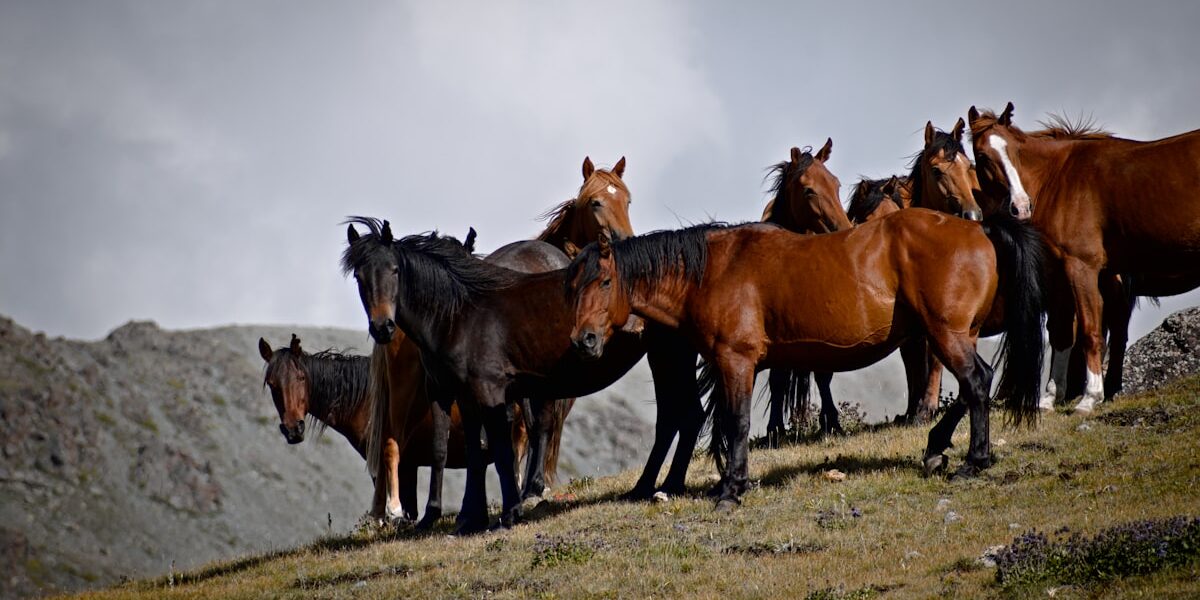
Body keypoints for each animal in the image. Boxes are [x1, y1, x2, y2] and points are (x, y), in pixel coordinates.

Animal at [258, 333, 530, 523]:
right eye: (272, 384)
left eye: (301, 378)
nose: (293, 429)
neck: (366, 398)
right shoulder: (408, 465)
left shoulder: (402, 463)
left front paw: (391, 514)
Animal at [344, 218, 702, 533]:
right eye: (359, 277)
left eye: (394, 270)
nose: (383, 327)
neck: (460, 315)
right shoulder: (459, 394)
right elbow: (464, 452)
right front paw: (467, 518)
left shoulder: (490, 392)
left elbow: (501, 452)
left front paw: (508, 515)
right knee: (683, 417)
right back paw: (654, 487)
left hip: (670, 357)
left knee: (677, 417)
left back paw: (659, 487)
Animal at [566, 208, 1046, 509]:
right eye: (572, 287)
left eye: (604, 281)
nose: (583, 340)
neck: (714, 270)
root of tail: (979, 229)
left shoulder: (737, 361)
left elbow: (736, 422)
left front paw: (731, 490)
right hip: (957, 334)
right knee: (972, 386)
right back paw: (936, 449)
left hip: (947, 334)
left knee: (977, 383)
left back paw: (973, 462)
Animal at [968, 103, 1200, 412]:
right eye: (983, 156)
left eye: (1016, 151)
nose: (1021, 206)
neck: (1059, 178)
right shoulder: (1061, 274)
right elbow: (1063, 335)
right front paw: (1051, 397)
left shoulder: (1083, 268)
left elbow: (1090, 331)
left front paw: (1090, 397)